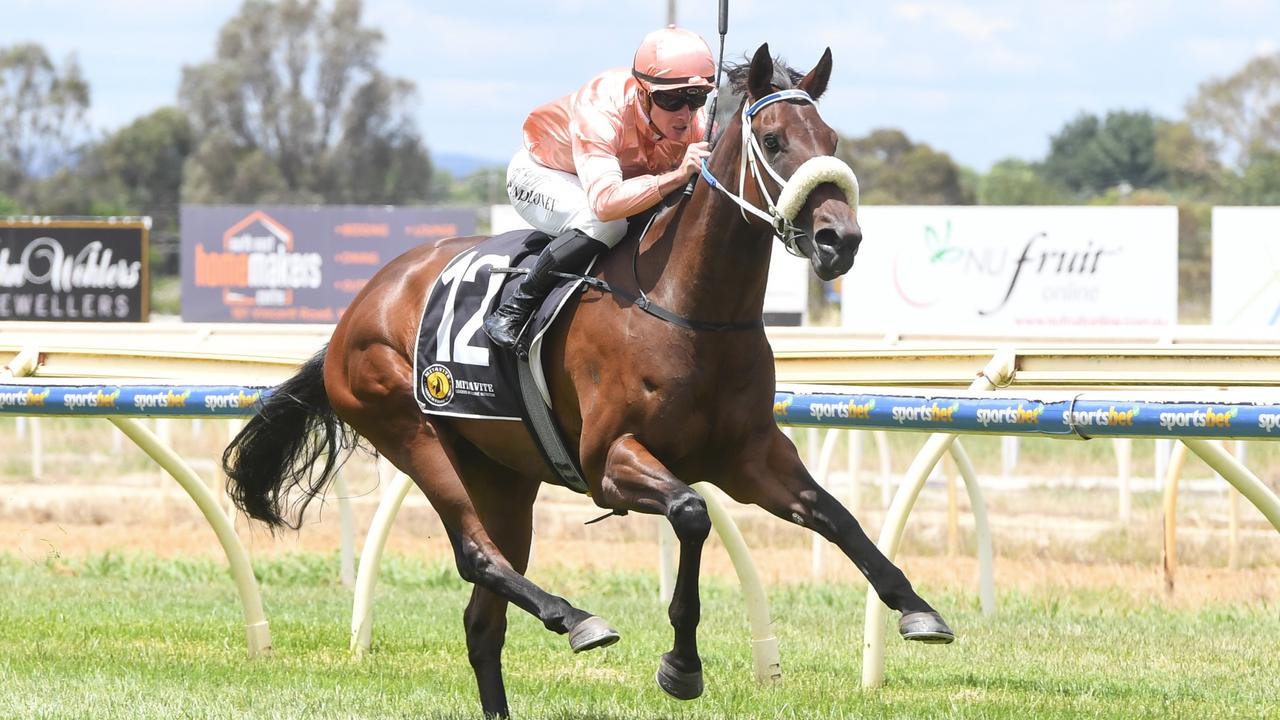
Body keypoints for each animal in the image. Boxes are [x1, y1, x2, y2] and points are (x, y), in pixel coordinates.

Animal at [225, 44, 957, 717]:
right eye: (774, 140)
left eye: (831, 141)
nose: (841, 240)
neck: (689, 308)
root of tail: (357, 308)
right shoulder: (609, 460)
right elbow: (692, 515)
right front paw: (681, 665)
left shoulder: (752, 457)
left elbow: (837, 516)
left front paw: (916, 607)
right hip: (410, 431)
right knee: (475, 553)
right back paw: (576, 618)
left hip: (500, 474)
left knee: (482, 622)